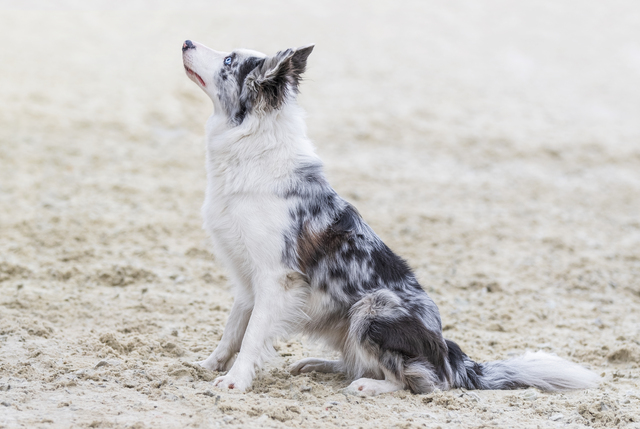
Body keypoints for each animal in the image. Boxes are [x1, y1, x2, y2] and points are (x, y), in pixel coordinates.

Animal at [181, 40, 600, 394]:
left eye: (229, 60)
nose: (186, 42)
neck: (251, 148)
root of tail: (451, 356)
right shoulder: (246, 278)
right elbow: (233, 330)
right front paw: (207, 365)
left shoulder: (275, 277)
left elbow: (252, 336)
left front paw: (235, 381)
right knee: (367, 363)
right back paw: (320, 365)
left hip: (372, 307)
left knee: (419, 380)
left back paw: (370, 386)